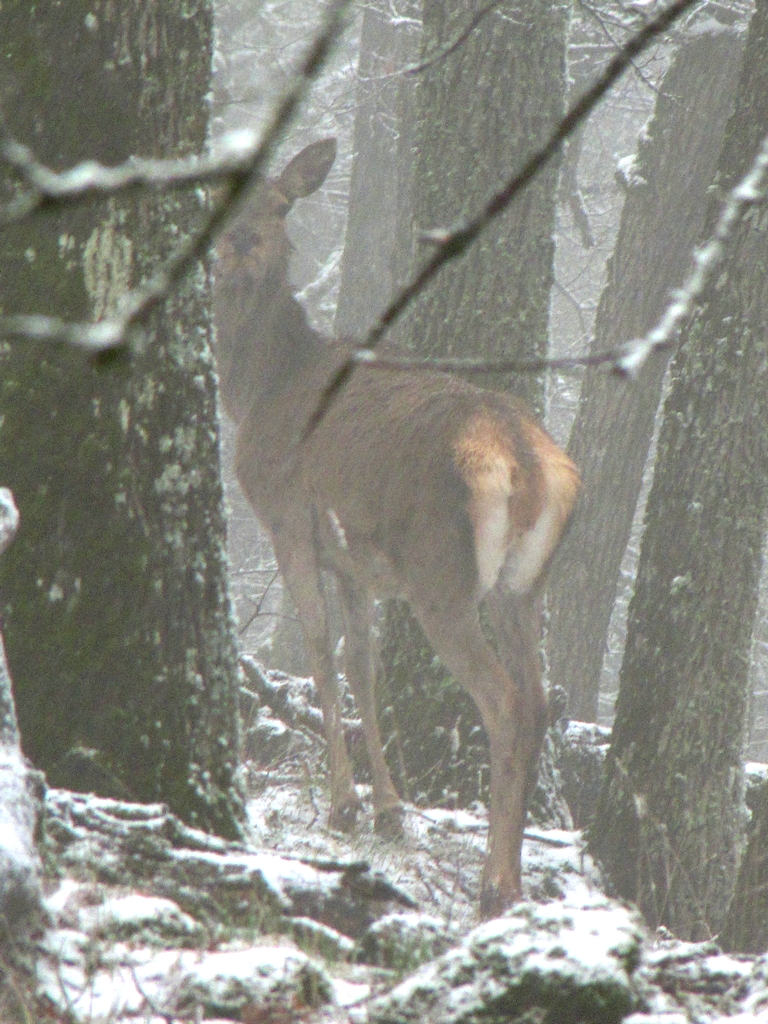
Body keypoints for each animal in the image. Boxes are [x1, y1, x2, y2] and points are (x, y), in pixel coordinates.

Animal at [214, 138, 581, 921]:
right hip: (521, 588)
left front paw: (344, 806)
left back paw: (494, 885)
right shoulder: (353, 561)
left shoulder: (288, 516)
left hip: (441, 577)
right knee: (536, 704)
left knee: (504, 702)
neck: (260, 388)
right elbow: (362, 665)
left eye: (281, 204)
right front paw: (387, 810)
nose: (242, 243)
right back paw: (512, 880)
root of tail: (527, 462)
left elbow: (319, 653)